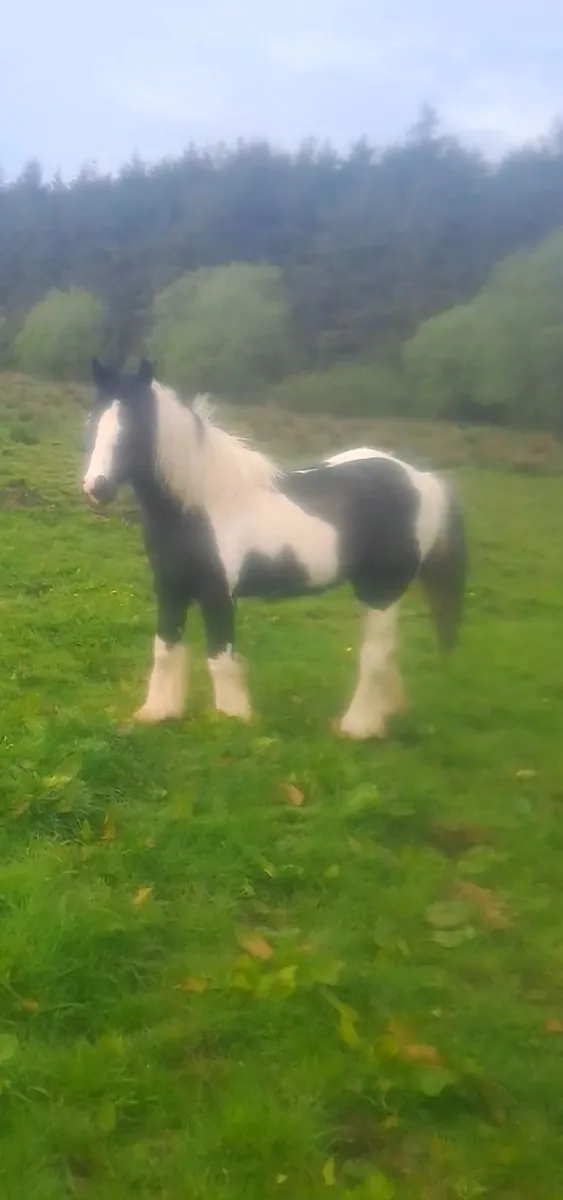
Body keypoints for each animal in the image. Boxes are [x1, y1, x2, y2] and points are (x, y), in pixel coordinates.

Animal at [82, 358, 466, 739]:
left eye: (135, 427)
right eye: (91, 421)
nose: (96, 489)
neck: (201, 505)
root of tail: (422, 480)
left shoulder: (218, 596)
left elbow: (219, 659)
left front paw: (232, 718)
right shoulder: (171, 590)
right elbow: (165, 649)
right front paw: (159, 713)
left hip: (384, 590)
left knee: (375, 654)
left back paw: (358, 727)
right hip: (368, 588)